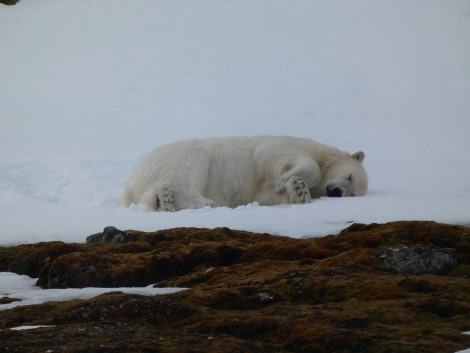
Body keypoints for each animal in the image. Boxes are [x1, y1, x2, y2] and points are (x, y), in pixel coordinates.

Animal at [121, 136, 368, 210]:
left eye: (352, 194)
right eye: (350, 176)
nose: (336, 191)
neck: (323, 153)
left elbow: (266, 196)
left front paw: (299, 191)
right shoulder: (282, 145)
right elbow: (271, 155)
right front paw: (288, 180)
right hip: (177, 157)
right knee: (187, 171)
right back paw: (203, 202)